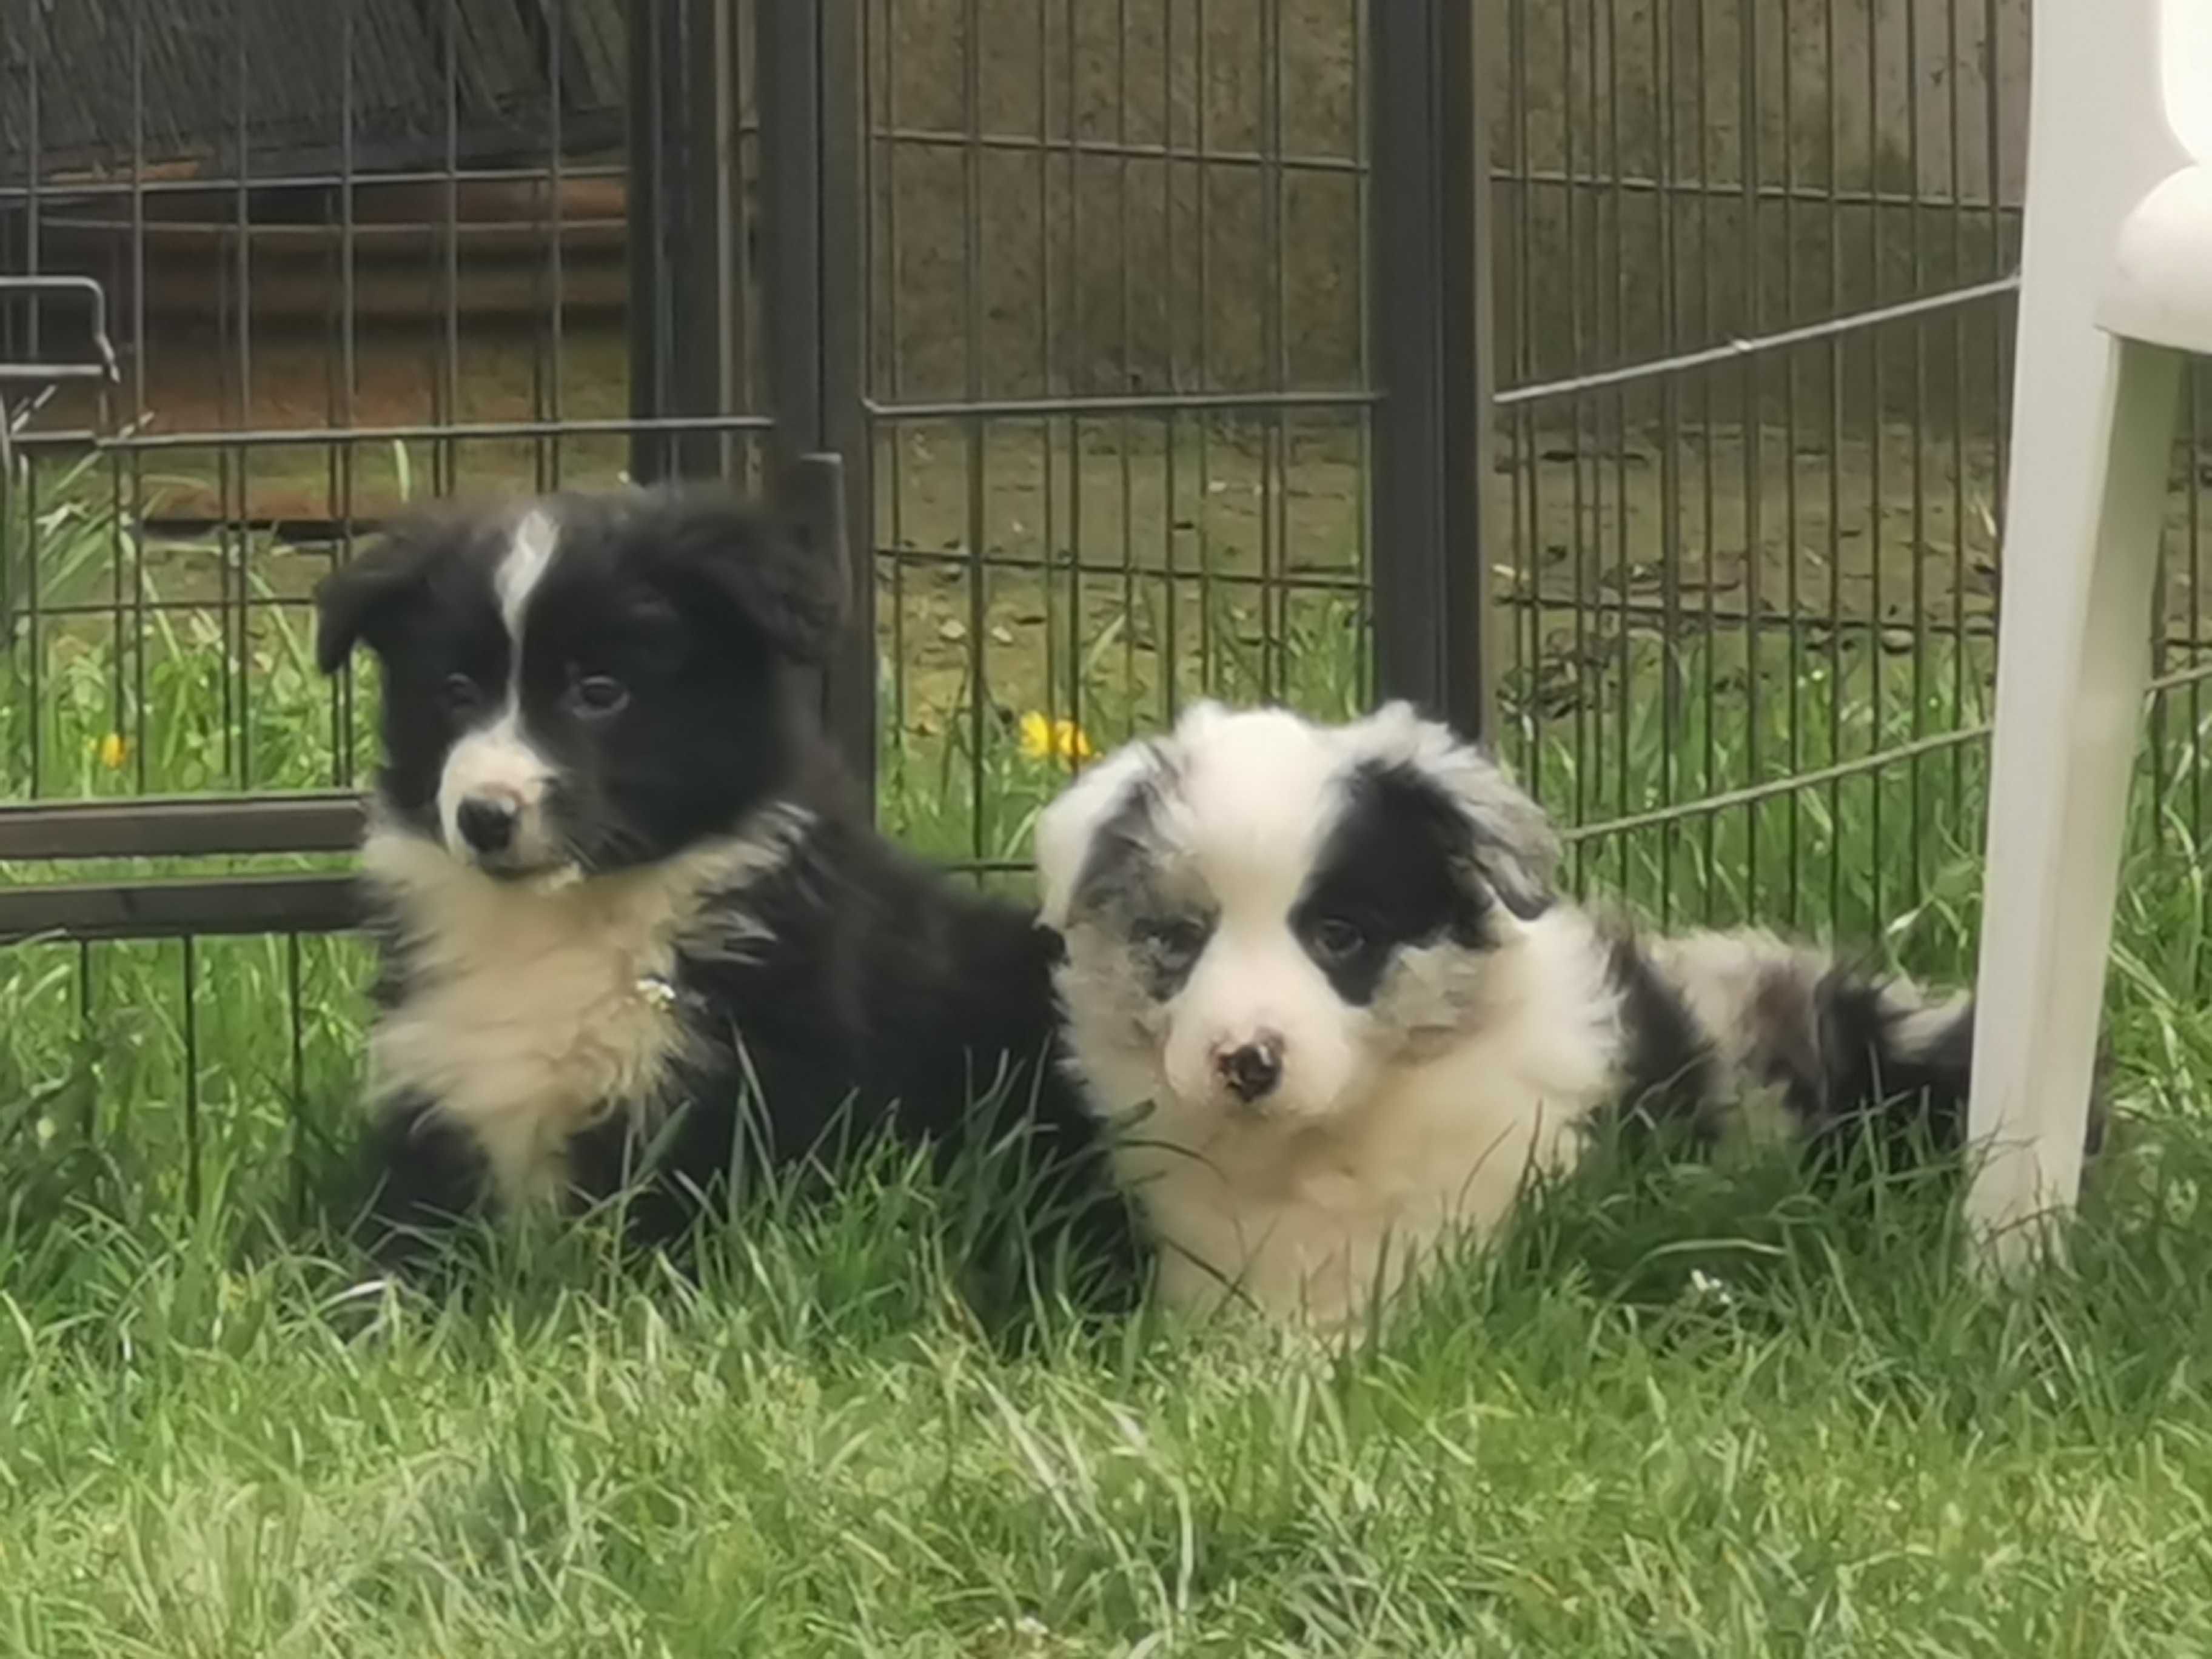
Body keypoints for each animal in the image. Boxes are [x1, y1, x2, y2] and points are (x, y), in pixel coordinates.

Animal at [320, 486, 1132, 1292]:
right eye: (455, 691)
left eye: (600, 692)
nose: (484, 817)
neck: (562, 920)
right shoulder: (437, 1101)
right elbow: (404, 1254)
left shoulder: (731, 1103)